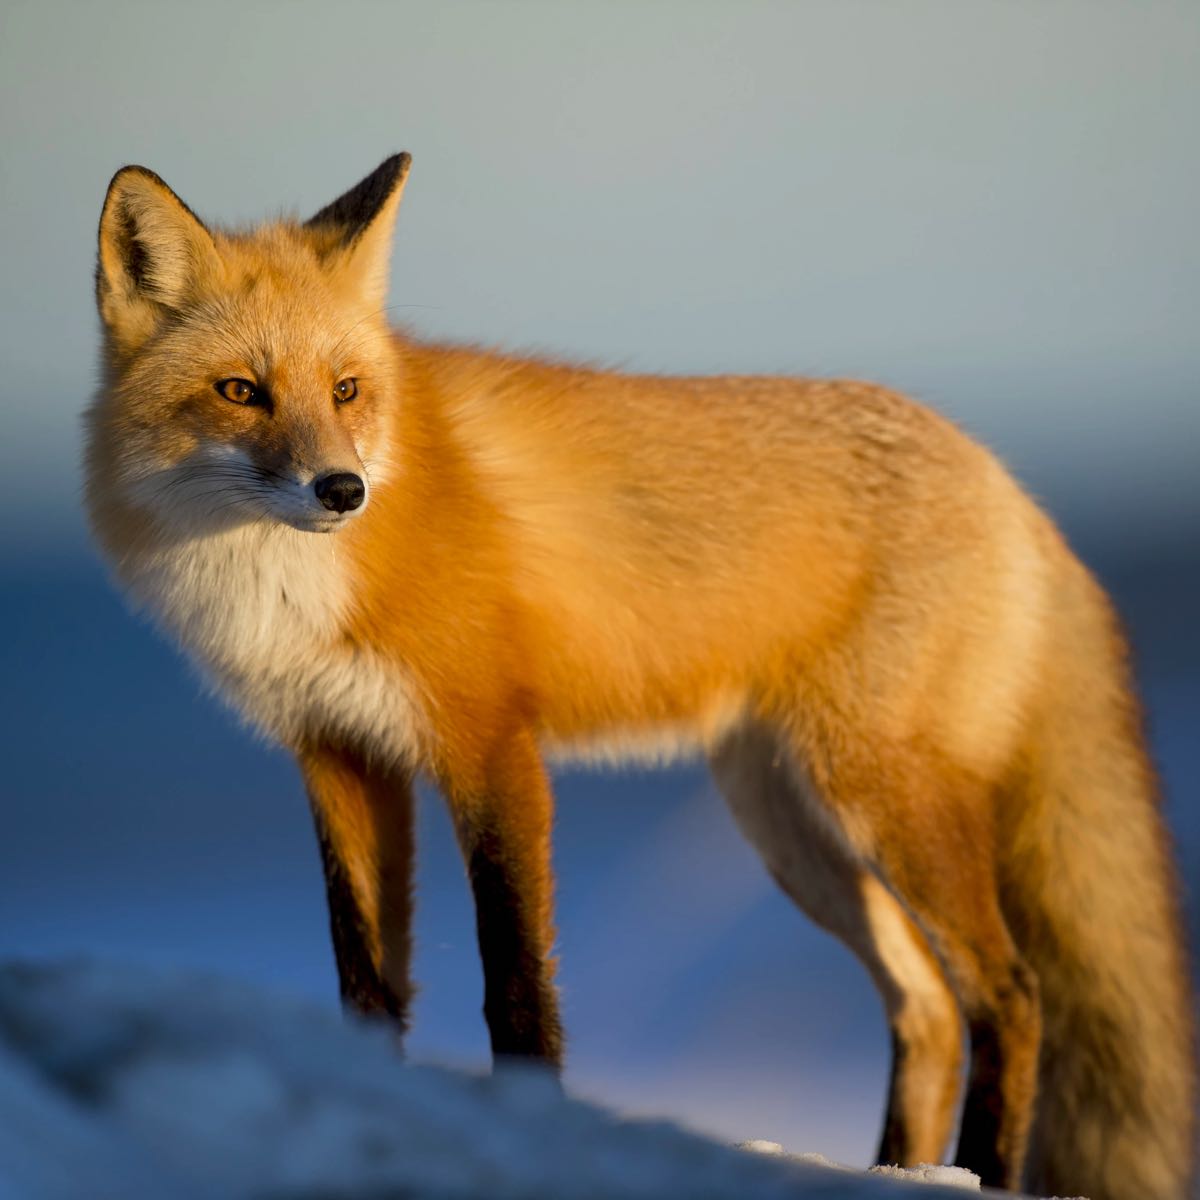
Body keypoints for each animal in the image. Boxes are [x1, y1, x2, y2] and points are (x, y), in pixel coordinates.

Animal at [84, 153, 1194, 1199]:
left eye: (346, 390)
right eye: (241, 391)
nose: (342, 489)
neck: (288, 586)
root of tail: (1009, 484)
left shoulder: (491, 745)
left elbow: (515, 981)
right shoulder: (339, 755)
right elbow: (366, 982)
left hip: (880, 798)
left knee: (1009, 993)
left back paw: (985, 1174)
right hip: (791, 827)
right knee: (926, 1006)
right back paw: (897, 1172)